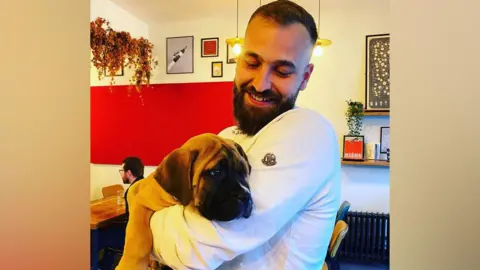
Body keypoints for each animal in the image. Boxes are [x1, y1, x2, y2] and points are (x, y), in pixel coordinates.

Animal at [115, 133, 253, 270]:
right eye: (215, 172)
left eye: (244, 171)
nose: (245, 196)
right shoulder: (140, 201)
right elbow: (139, 236)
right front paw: (130, 265)